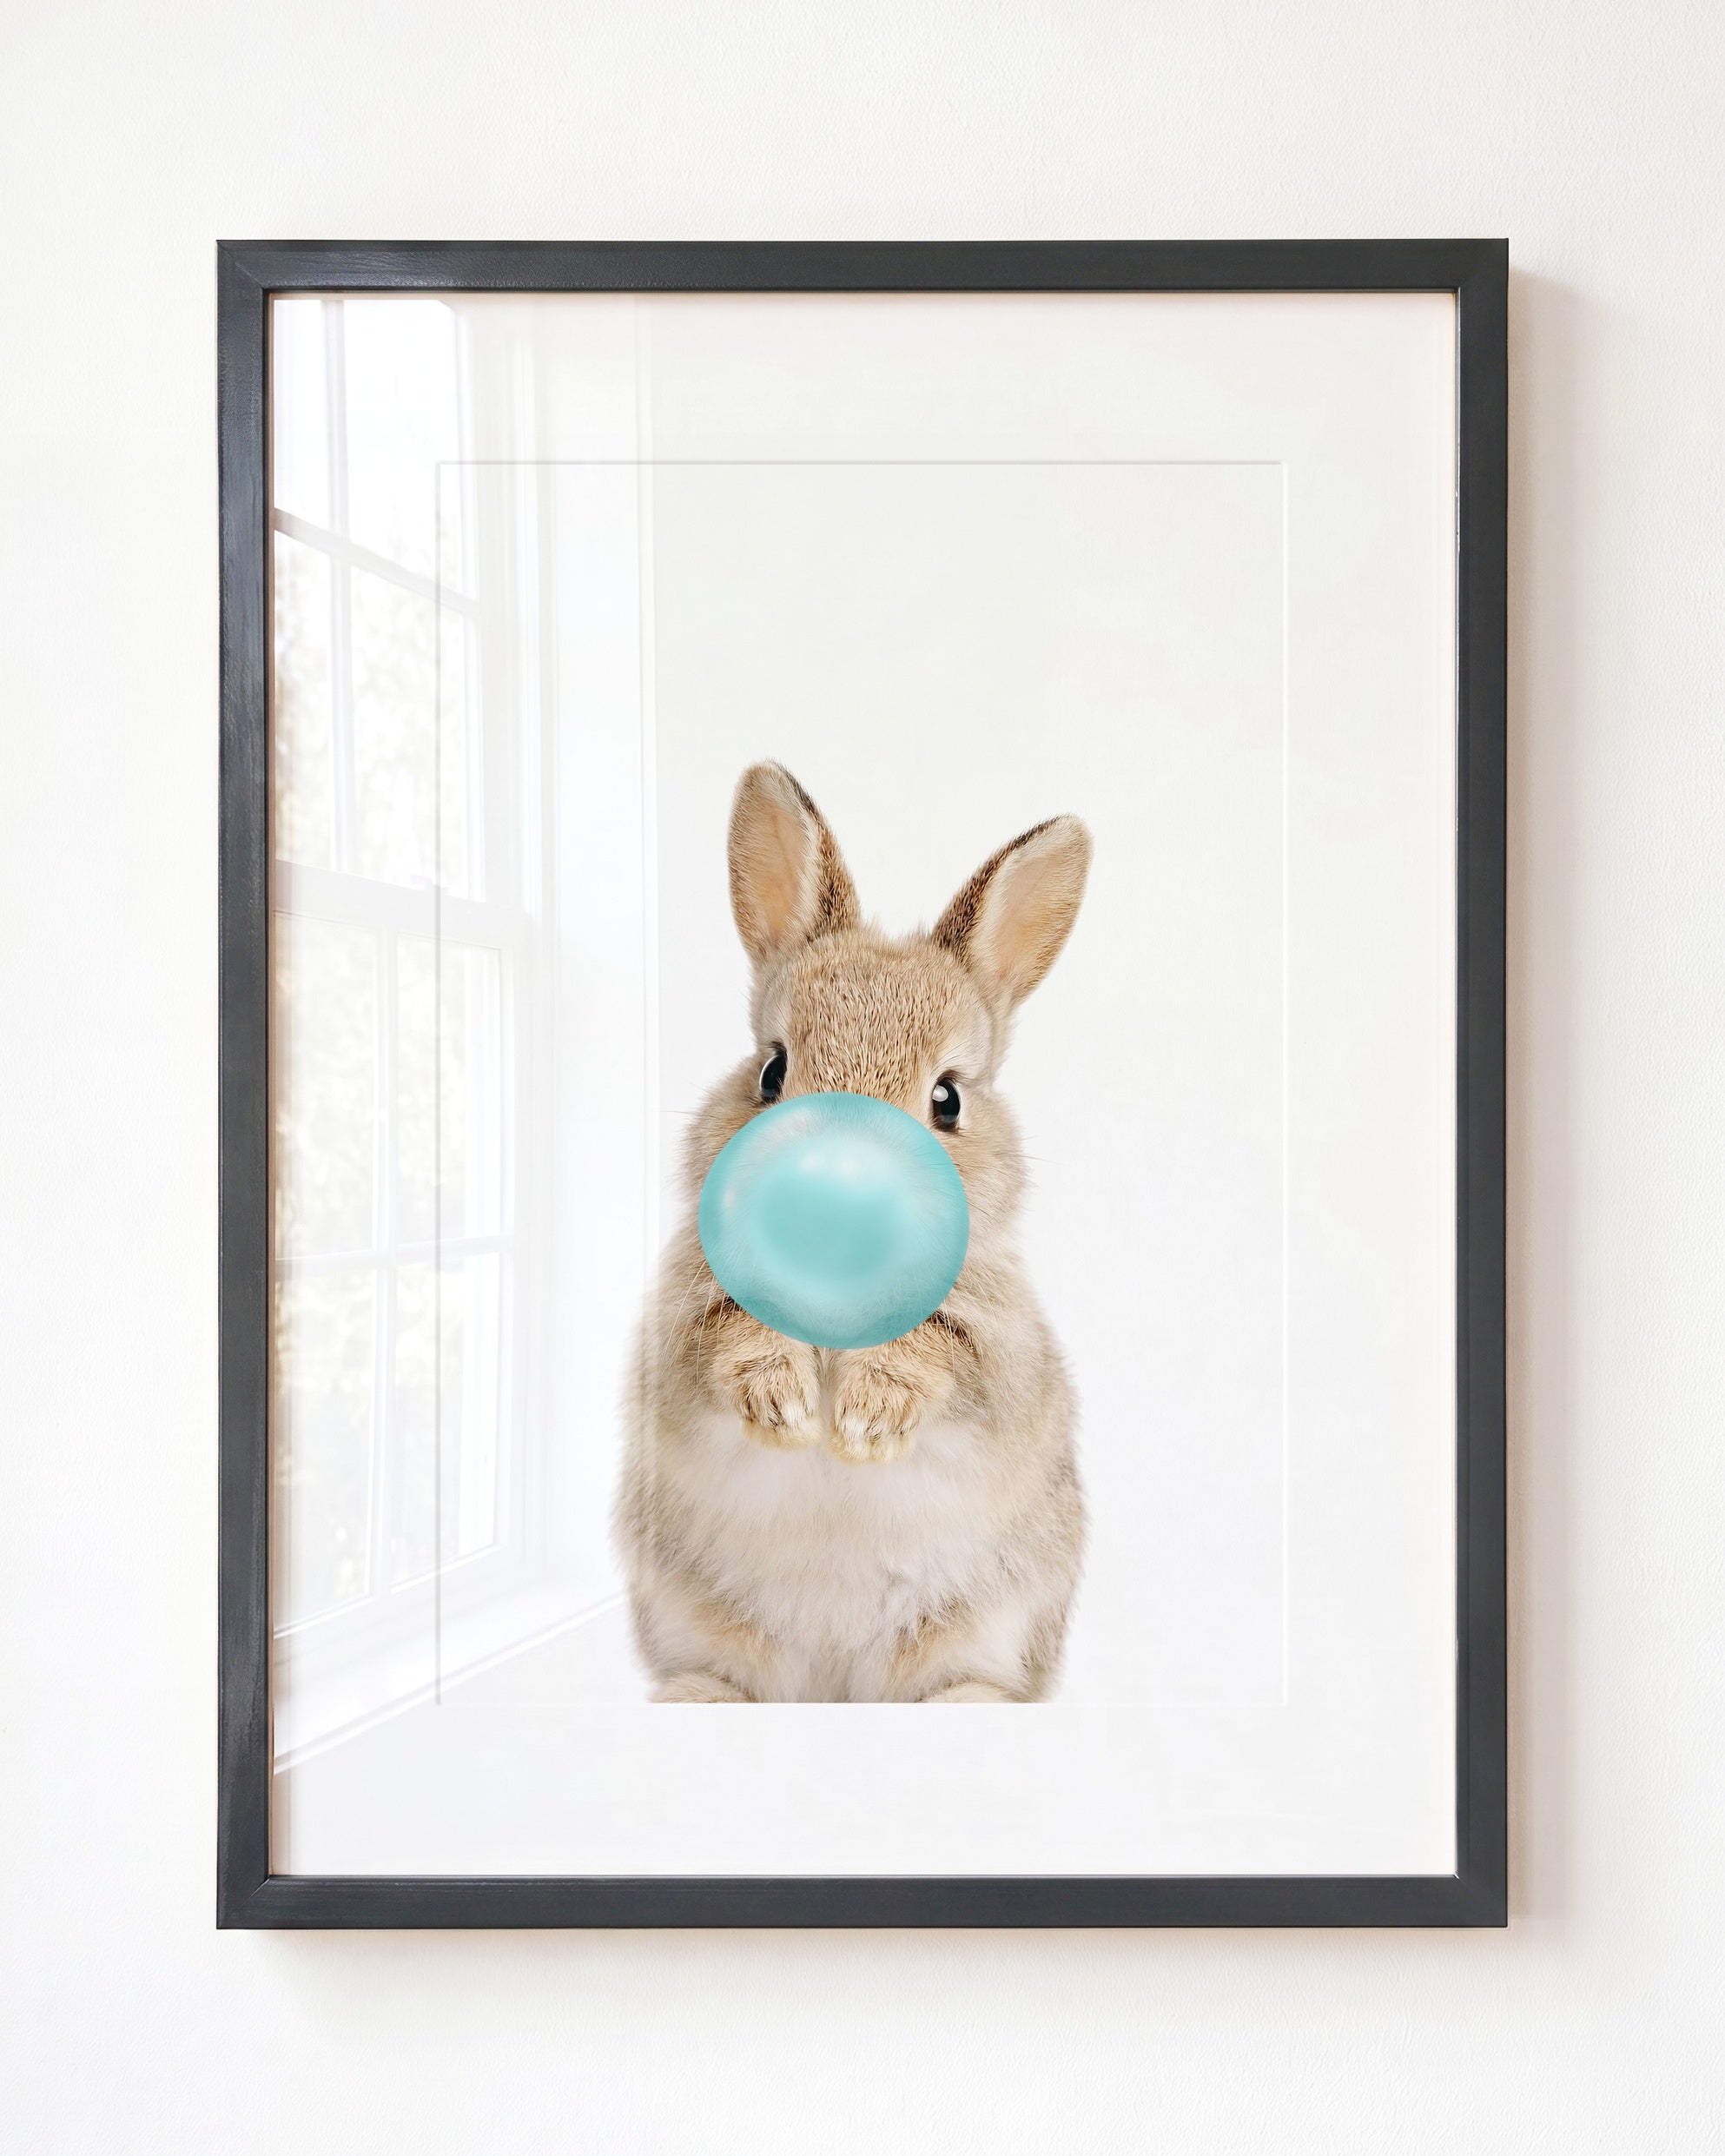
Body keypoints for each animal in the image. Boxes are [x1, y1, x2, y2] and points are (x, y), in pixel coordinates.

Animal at [616, 761, 1091, 1702]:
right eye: (771, 1070)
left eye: (947, 1098)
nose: (835, 1187)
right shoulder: (681, 1332)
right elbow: (728, 1339)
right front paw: (786, 1407)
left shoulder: (1000, 1354)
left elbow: (939, 1351)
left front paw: (865, 1423)